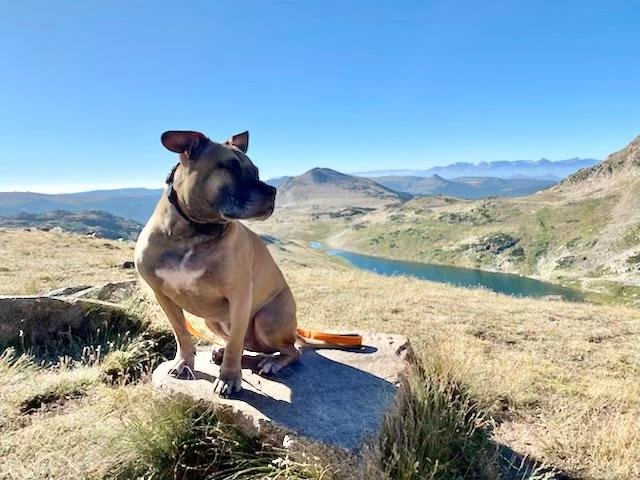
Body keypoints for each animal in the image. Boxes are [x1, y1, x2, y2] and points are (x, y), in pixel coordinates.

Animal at [135, 129, 300, 396]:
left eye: (256, 171)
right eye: (231, 167)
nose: (272, 191)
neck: (193, 231)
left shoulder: (239, 297)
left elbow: (234, 344)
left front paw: (229, 378)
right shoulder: (164, 297)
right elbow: (181, 334)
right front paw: (184, 363)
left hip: (267, 320)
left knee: (290, 350)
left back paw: (271, 362)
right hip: (211, 320)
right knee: (247, 346)